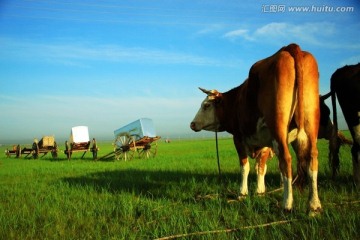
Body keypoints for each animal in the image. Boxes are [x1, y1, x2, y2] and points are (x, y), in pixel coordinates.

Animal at [190, 43, 322, 212]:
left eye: (206, 105)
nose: (192, 124)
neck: (236, 100)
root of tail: (289, 48)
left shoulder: (239, 138)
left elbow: (245, 167)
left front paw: (242, 193)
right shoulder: (265, 142)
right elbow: (261, 167)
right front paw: (260, 191)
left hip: (278, 127)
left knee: (286, 160)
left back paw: (287, 203)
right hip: (309, 125)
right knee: (312, 159)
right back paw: (314, 205)